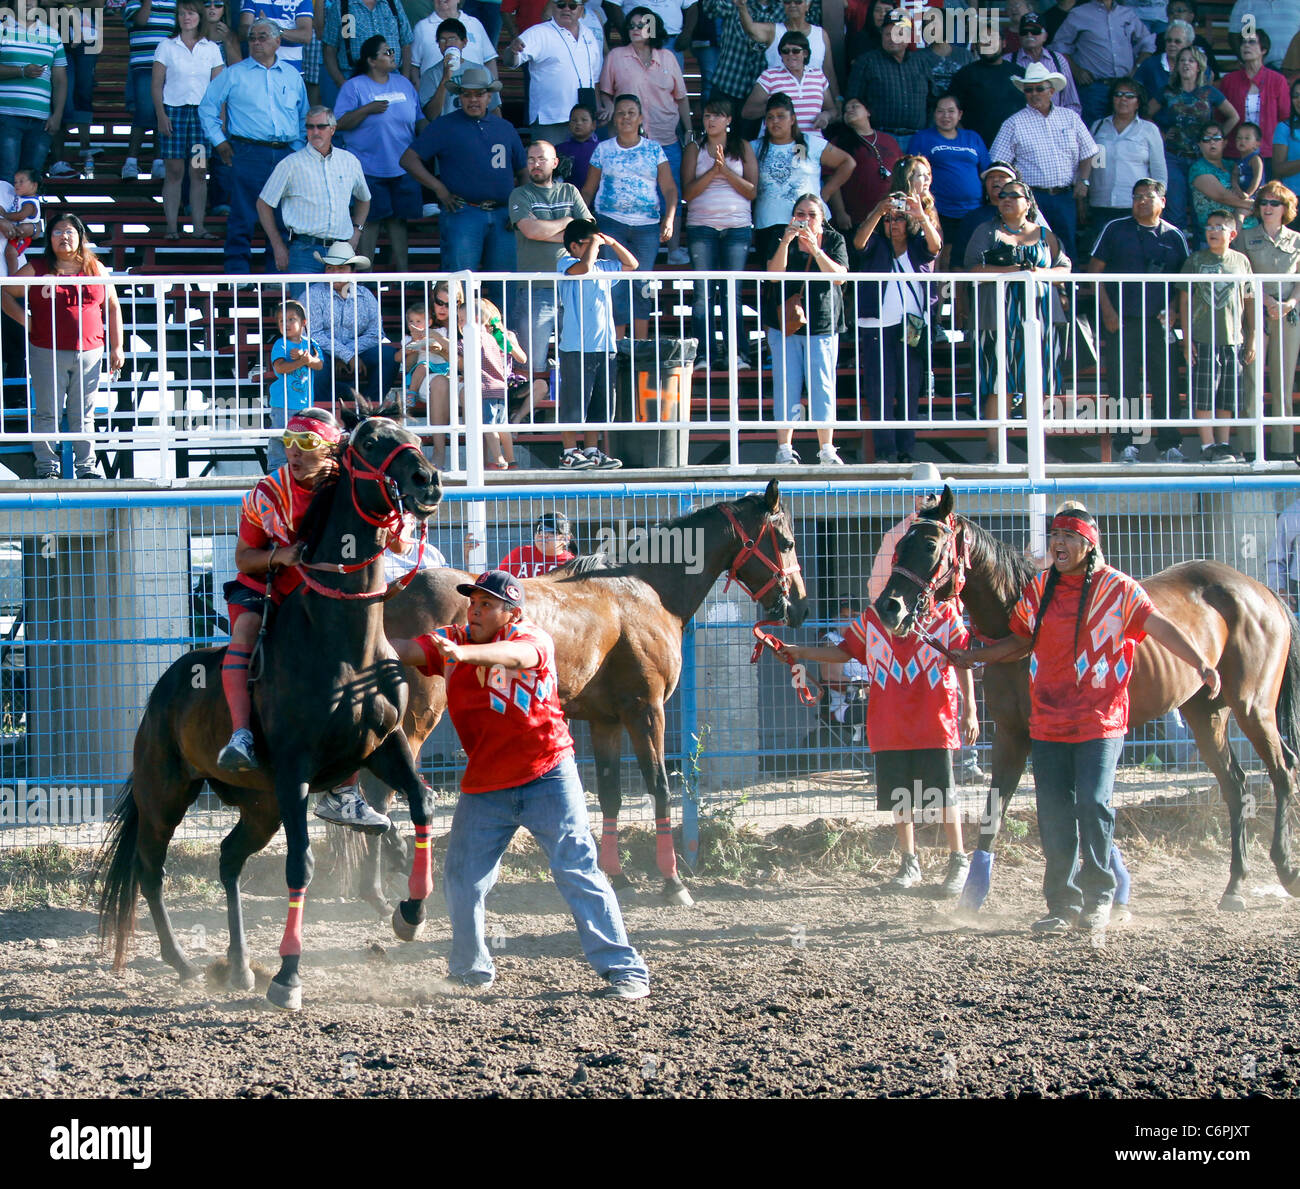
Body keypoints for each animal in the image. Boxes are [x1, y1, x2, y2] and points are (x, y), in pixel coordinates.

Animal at [94, 413, 441, 1008]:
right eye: (373, 441)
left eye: (414, 435)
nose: (427, 480)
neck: (344, 642)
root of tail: (162, 693)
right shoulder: (295, 769)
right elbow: (299, 865)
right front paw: (288, 976)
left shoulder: (385, 744)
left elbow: (420, 807)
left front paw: (410, 913)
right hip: (166, 793)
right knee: (149, 869)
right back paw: (182, 961)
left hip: (260, 806)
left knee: (229, 859)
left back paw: (237, 966)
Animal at [371, 478, 806, 904]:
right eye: (786, 542)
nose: (799, 605)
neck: (646, 590)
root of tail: (392, 596)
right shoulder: (646, 711)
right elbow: (660, 787)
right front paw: (673, 881)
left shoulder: (606, 721)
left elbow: (611, 794)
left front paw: (617, 875)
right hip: (418, 719)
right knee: (381, 795)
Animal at [873, 488, 1300, 914]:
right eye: (900, 544)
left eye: (930, 544)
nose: (888, 607)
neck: (1023, 633)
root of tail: (1262, 592)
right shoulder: (1012, 736)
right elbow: (998, 810)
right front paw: (973, 896)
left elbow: (1073, 811)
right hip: (1205, 712)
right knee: (1236, 786)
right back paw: (1235, 884)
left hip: (1253, 708)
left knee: (1282, 771)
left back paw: (1284, 868)